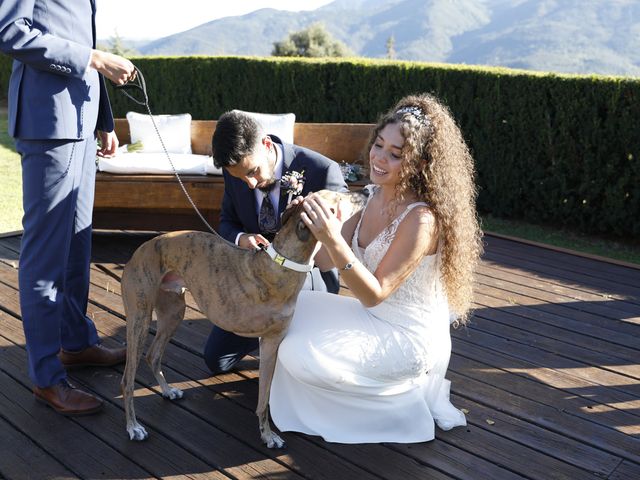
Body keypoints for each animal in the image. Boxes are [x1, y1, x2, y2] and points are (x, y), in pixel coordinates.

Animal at [122, 189, 368, 448]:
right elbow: (265, 397)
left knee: (153, 355)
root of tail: (140, 250)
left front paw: (266, 432)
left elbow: (264, 393)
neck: (282, 265)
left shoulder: (269, 343)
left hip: (173, 312)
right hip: (139, 318)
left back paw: (168, 391)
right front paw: (269, 435)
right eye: (339, 198)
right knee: (127, 380)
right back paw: (134, 427)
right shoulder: (271, 341)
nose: (365, 190)